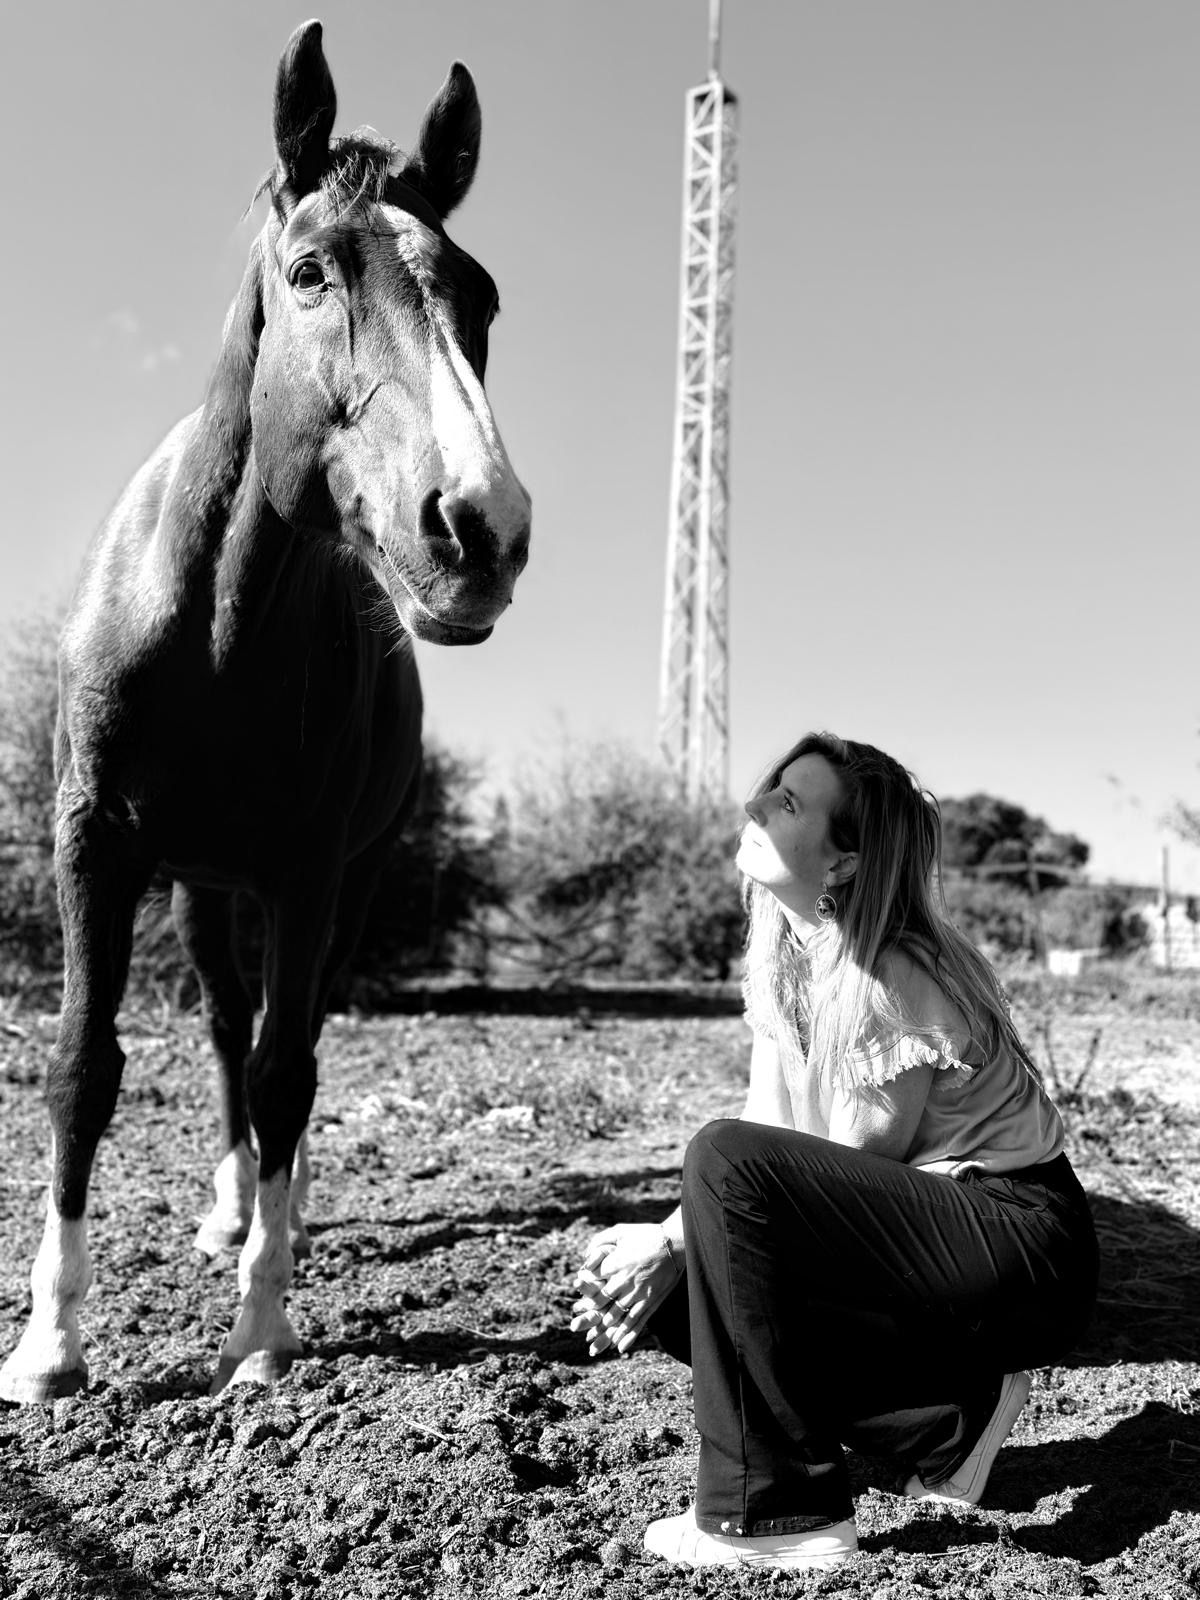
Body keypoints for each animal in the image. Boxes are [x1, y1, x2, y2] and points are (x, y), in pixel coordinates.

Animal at [0, 20, 530, 1403]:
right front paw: (49, 1342)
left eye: (482, 300)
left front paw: (260, 1328)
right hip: (197, 886)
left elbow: (291, 1069)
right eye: (308, 272)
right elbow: (84, 1063)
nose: (480, 530)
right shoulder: (96, 842)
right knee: (226, 1034)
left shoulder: (305, 870)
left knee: (287, 1046)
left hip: (339, 882)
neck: (213, 631)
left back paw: (282, 1217)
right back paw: (234, 1205)